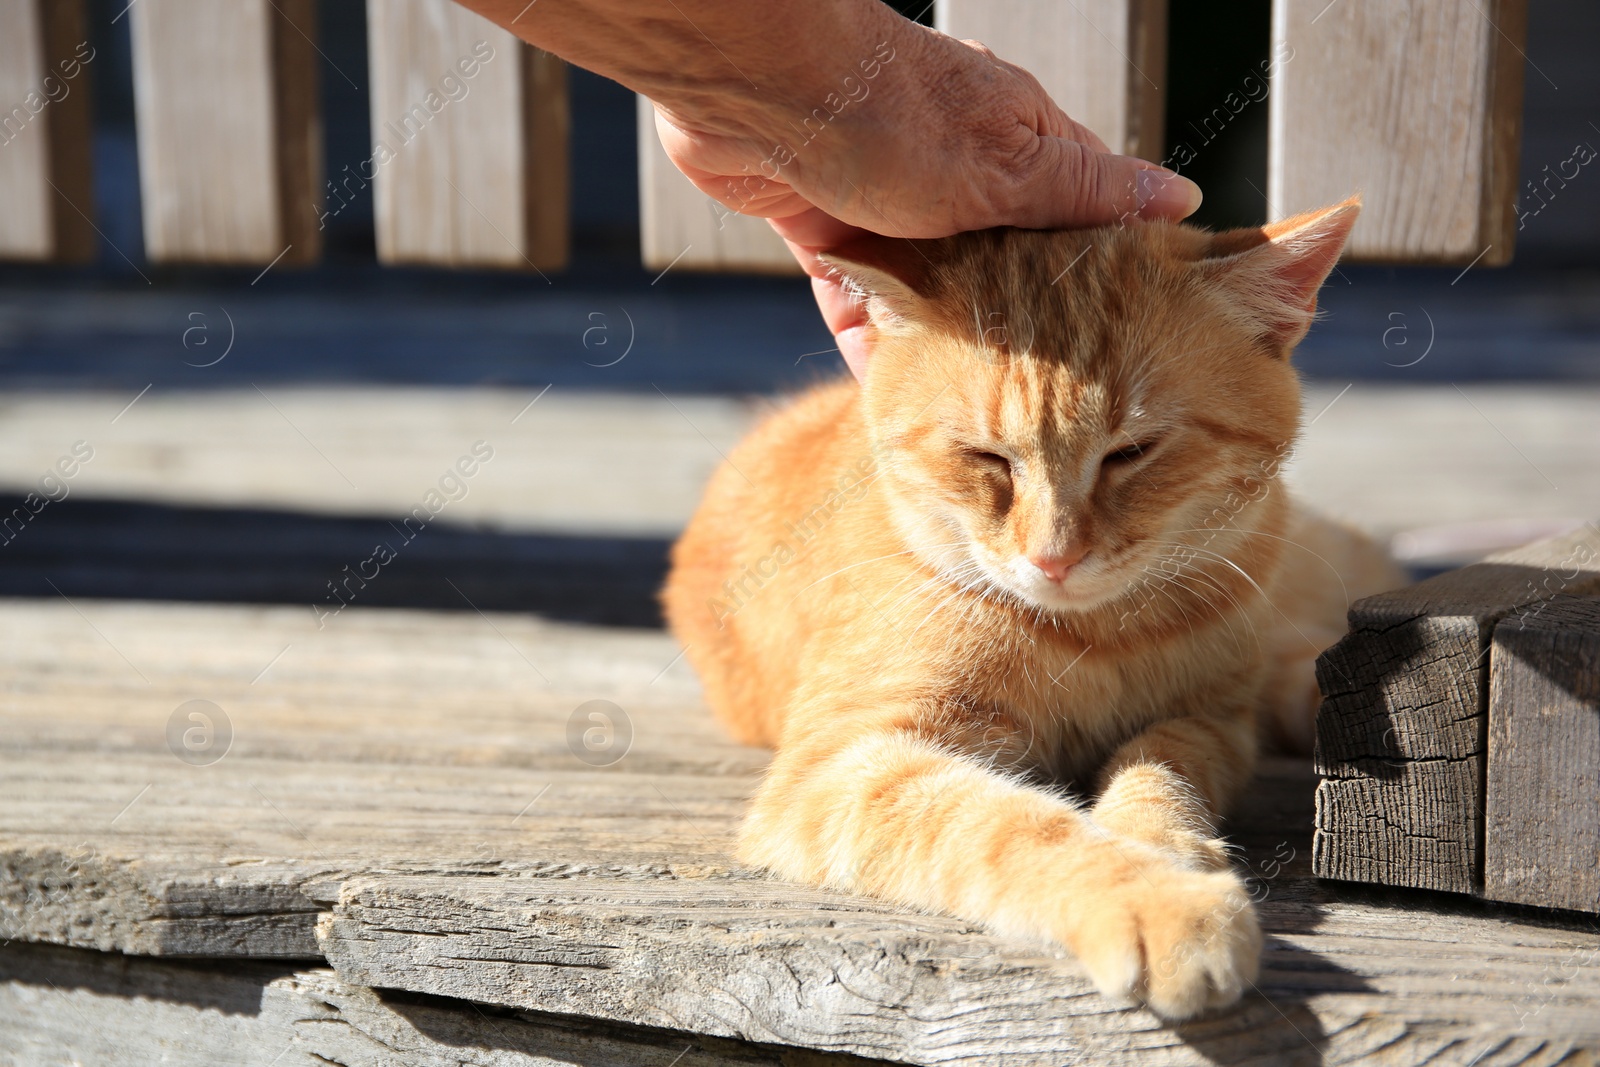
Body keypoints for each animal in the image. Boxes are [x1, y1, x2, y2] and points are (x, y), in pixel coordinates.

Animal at [662, 198, 1401, 1017]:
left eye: (1132, 452)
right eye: (987, 458)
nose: (1055, 558)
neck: (1095, 637)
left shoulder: (1211, 721)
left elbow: (1161, 772)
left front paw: (1166, 846)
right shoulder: (844, 765)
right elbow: (1010, 826)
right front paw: (1158, 898)